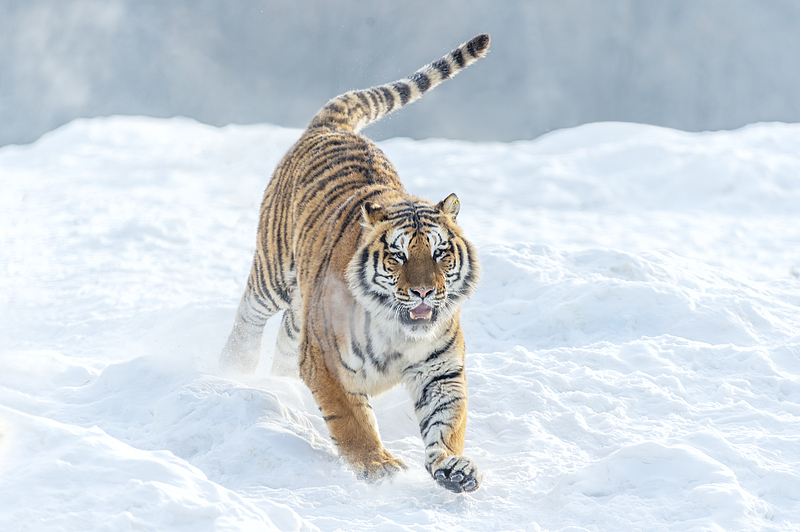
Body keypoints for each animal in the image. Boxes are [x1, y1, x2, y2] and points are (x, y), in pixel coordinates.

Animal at [220, 34, 490, 493]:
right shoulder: (326, 363)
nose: (424, 291)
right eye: (398, 255)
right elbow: (352, 421)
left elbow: (448, 421)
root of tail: (333, 126)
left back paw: (277, 384)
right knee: (248, 318)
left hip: (300, 308)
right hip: (273, 272)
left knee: (284, 341)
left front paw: (453, 466)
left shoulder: (440, 369)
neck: (400, 331)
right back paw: (232, 370)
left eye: (440, 253)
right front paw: (378, 466)